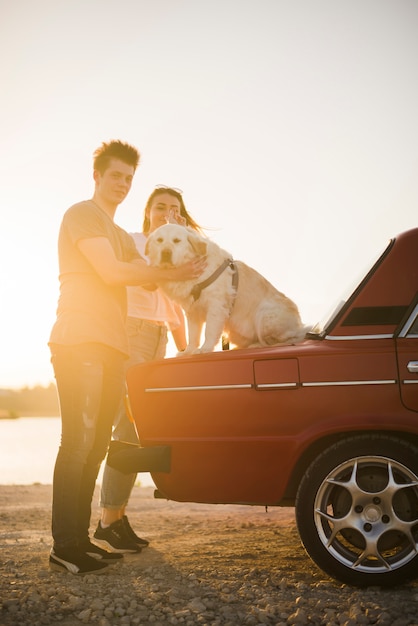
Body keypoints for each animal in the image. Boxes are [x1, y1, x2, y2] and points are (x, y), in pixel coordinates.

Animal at [146, 222, 306, 354]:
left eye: (177, 241)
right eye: (159, 240)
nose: (166, 253)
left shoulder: (216, 306)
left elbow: (209, 331)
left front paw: (205, 348)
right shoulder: (192, 311)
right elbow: (193, 335)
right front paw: (188, 351)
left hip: (265, 314)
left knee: (292, 337)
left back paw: (258, 344)